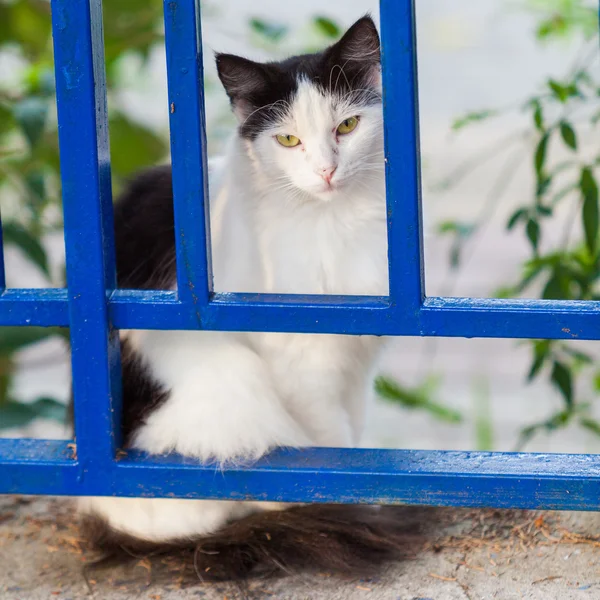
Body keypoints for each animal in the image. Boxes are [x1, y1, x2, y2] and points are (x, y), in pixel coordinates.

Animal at [78, 15, 408, 580]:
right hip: (231, 388)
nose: (327, 171)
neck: (335, 223)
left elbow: (352, 435)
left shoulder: (355, 365)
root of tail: (99, 509)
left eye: (347, 127)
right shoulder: (301, 364)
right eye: (288, 139)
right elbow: (329, 443)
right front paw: (342, 500)